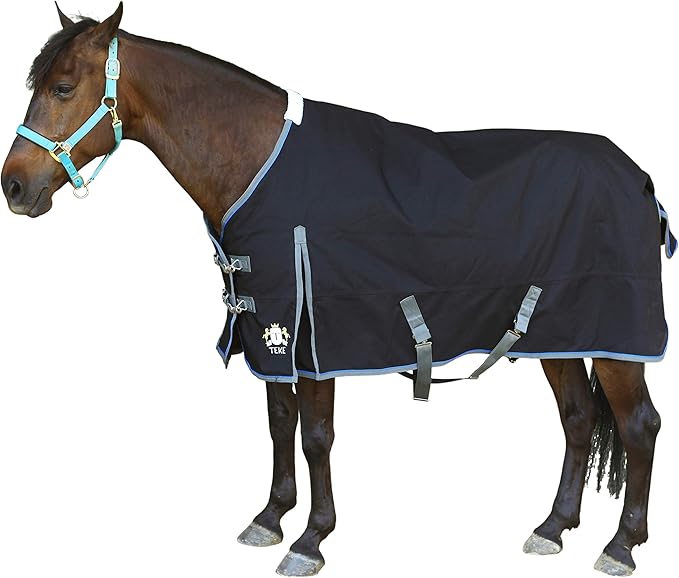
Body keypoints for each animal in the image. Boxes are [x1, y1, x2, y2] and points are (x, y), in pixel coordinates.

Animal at [1, 4, 671, 576]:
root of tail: (638, 177)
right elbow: (279, 423)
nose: (13, 187)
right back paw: (553, 527)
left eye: (63, 89)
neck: (255, 161)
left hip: (616, 342)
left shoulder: (314, 331)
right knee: (578, 418)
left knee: (639, 425)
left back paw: (621, 545)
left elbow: (316, 436)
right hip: (557, 334)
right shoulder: (268, 329)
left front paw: (311, 539)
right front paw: (270, 517)